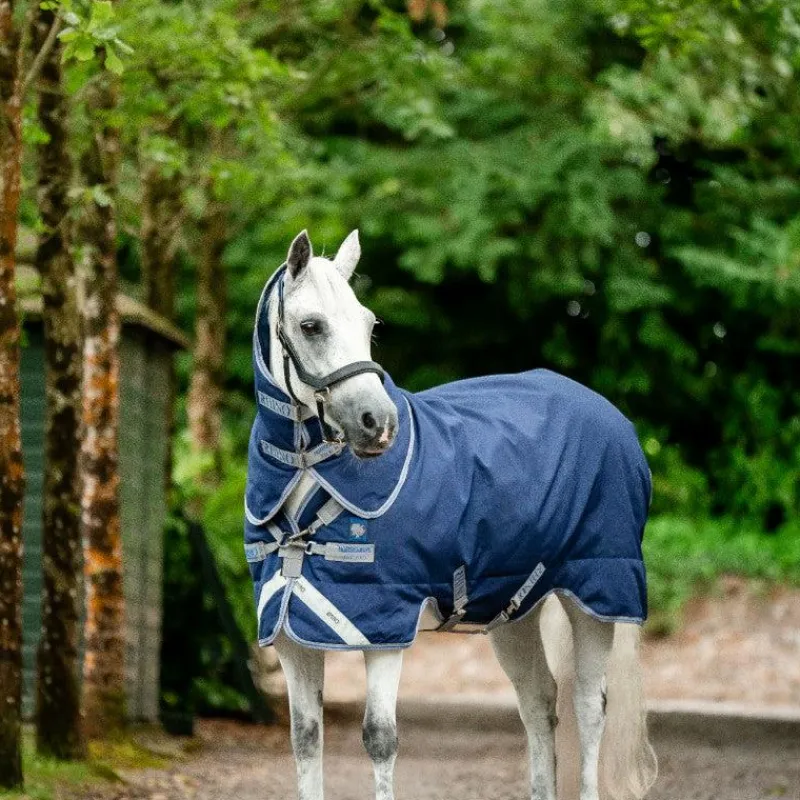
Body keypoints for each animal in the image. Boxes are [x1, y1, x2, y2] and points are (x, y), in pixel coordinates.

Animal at [244, 229, 658, 800]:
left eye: (369, 324)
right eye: (311, 325)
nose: (378, 423)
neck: (312, 478)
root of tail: (615, 420)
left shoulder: (384, 628)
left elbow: (380, 740)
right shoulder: (290, 636)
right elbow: (305, 741)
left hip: (596, 595)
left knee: (589, 708)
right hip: (515, 610)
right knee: (539, 703)